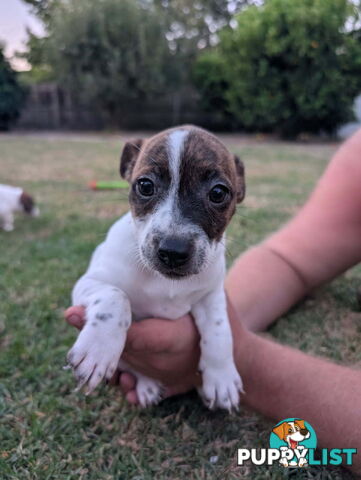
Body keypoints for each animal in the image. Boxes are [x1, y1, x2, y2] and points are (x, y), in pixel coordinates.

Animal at [67, 125, 245, 410]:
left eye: (218, 193)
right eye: (145, 185)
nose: (173, 251)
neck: (165, 282)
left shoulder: (211, 295)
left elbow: (220, 330)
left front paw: (222, 377)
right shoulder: (90, 282)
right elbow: (115, 296)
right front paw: (98, 350)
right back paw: (146, 383)